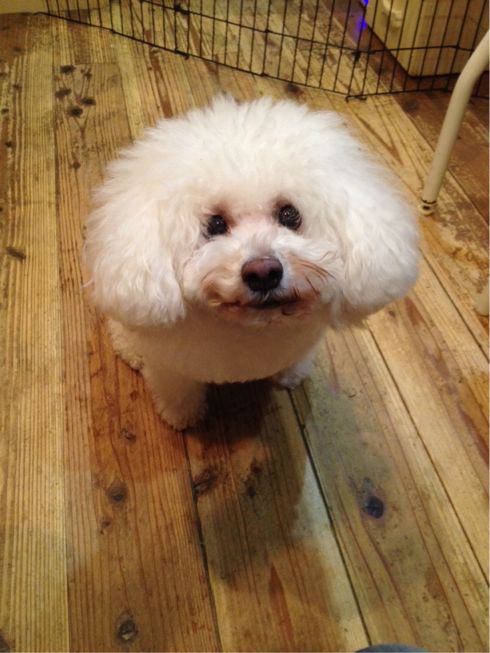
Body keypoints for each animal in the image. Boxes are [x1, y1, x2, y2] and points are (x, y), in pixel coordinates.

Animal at [84, 96, 419, 429]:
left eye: (289, 214)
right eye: (215, 224)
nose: (264, 273)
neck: (253, 329)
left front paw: (290, 376)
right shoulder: (172, 367)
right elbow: (177, 391)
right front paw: (181, 416)